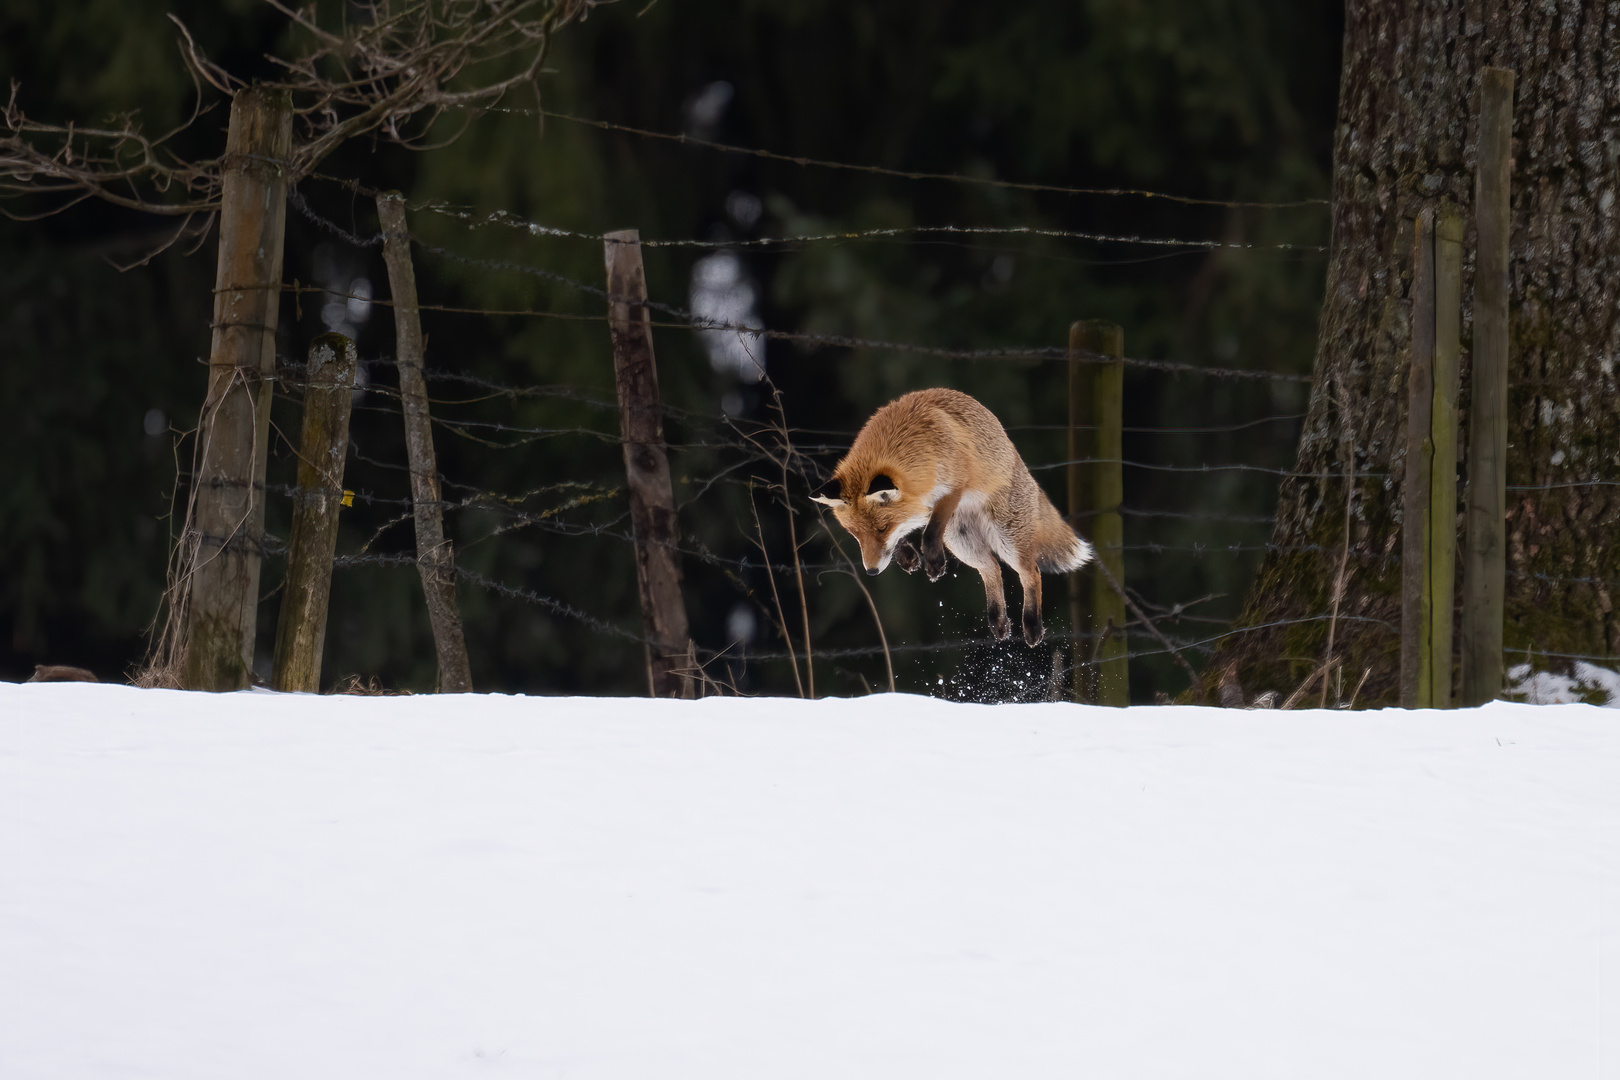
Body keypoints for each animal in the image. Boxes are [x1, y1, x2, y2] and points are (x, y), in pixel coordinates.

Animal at [806, 386, 1088, 641]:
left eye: (881, 528)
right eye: (856, 536)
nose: (872, 572)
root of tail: (1021, 464)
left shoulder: (953, 489)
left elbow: (931, 531)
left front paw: (932, 562)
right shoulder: (916, 508)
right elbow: (902, 537)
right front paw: (908, 557)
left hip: (1006, 539)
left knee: (1031, 572)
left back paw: (1031, 625)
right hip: (963, 543)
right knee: (992, 569)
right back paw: (998, 622)